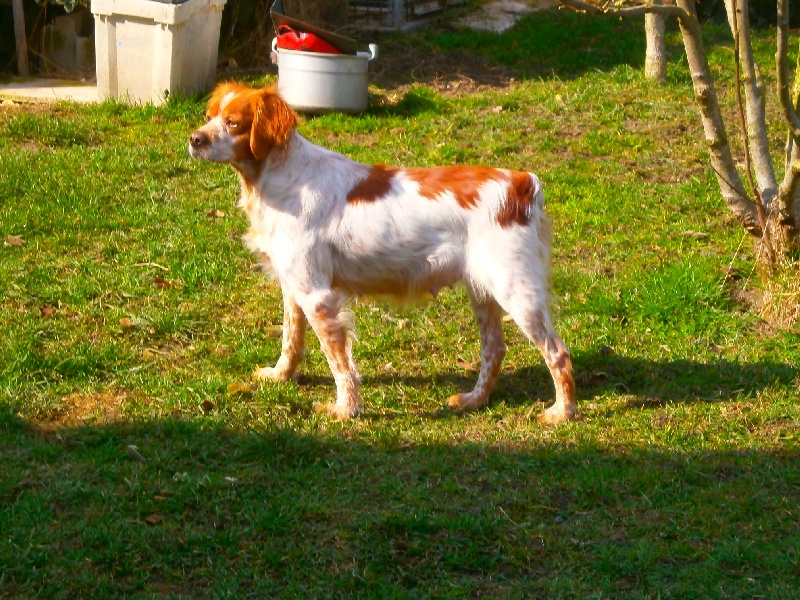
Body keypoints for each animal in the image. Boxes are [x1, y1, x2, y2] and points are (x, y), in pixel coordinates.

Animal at [188, 83, 576, 422]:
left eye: (233, 123)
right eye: (208, 116)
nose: (195, 139)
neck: (282, 176)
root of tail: (522, 183)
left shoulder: (318, 296)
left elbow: (339, 362)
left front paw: (345, 409)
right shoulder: (294, 286)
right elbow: (291, 338)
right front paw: (281, 375)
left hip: (517, 292)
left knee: (558, 352)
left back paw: (562, 412)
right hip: (483, 291)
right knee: (494, 350)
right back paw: (473, 400)